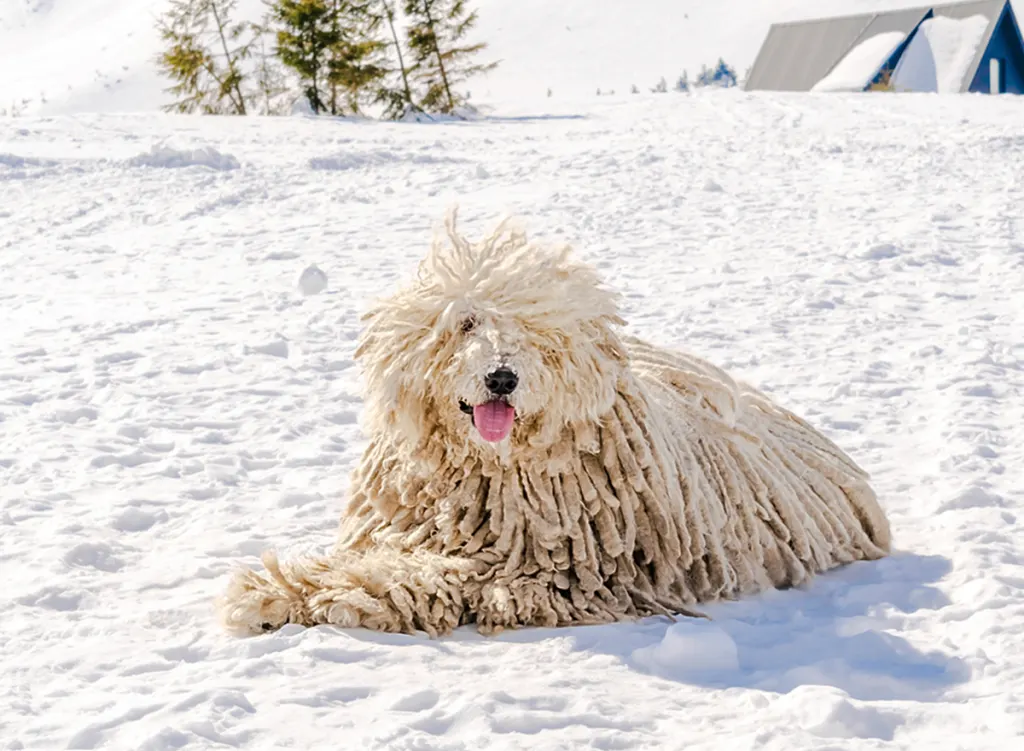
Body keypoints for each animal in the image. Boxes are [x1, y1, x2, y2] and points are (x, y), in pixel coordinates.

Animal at [218, 212, 888, 639]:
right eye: (466, 323)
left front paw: (310, 592)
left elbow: (425, 579)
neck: (491, 471)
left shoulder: (537, 570)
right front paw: (274, 592)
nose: (501, 377)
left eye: (535, 334)